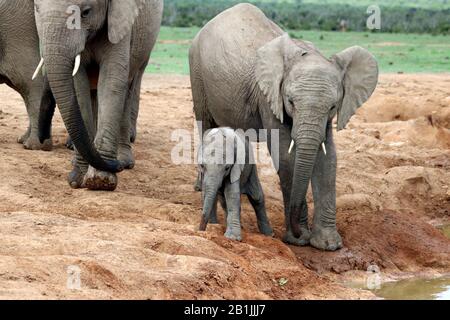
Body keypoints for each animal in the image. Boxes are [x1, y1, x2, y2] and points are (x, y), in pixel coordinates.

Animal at [33, 0, 163, 190]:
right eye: (36, 8)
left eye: (86, 12)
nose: (43, 141)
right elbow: (79, 86)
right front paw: (78, 179)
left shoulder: (121, 24)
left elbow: (111, 80)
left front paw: (101, 180)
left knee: (129, 86)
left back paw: (124, 161)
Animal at [188, 3, 378, 251]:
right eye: (290, 101)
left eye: (333, 106)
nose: (298, 232)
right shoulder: (268, 96)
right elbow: (285, 155)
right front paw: (299, 240)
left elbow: (328, 157)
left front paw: (328, 244)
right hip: (197, 74)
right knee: (205, 124)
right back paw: (200, 187)